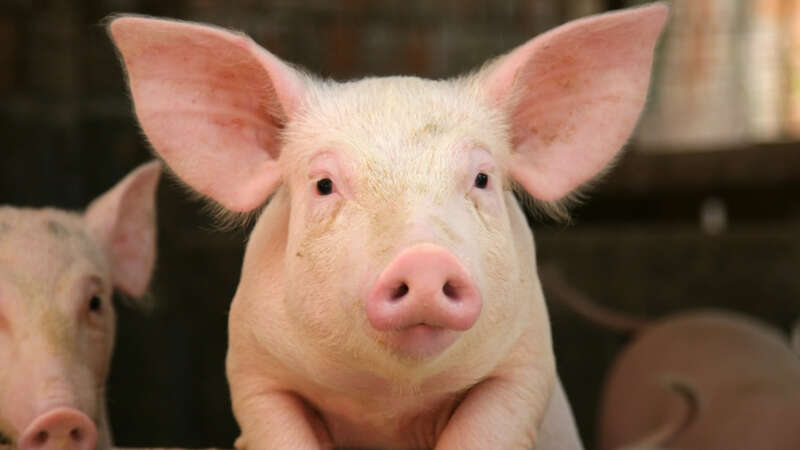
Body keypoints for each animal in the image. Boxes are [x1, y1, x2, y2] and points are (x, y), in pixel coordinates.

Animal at [108, 4, 668, 450]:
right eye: (324, 184)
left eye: (482, 178)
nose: (424, 259)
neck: (389, 403)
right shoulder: (253, 370)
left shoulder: (525, 364)